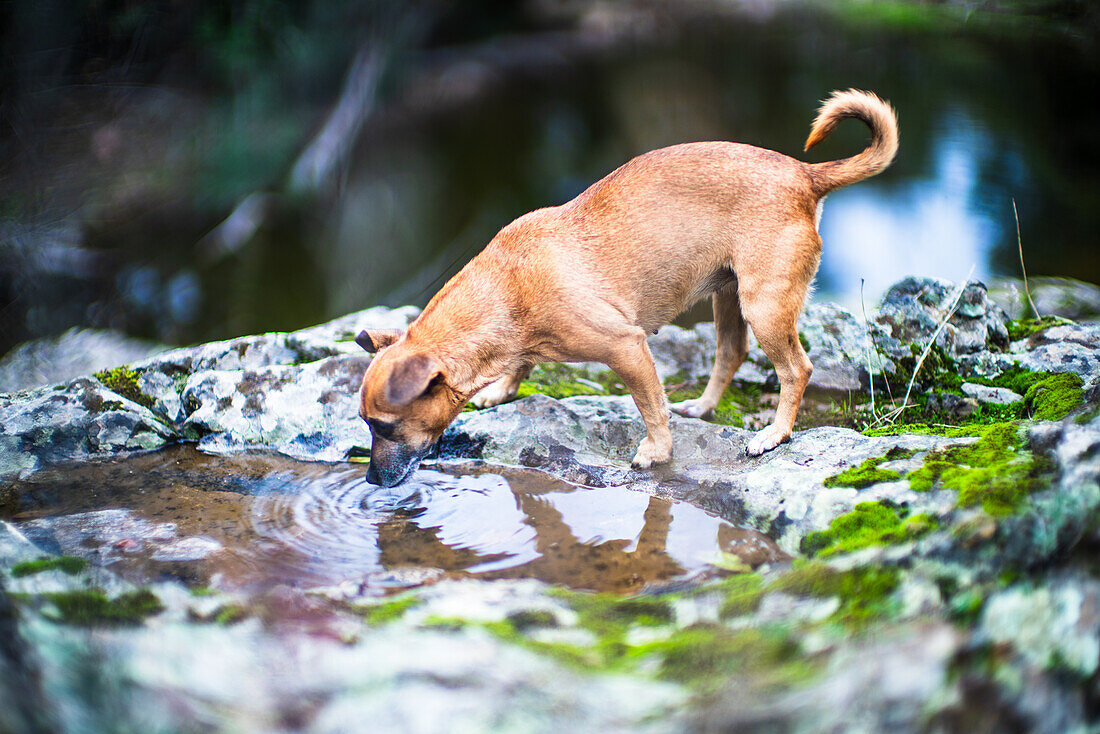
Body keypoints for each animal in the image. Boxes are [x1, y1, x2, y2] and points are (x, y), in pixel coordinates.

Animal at [356, 89, 897, 488]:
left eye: (383, 427)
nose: (371, 481)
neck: (507, 288)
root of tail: (805, 174)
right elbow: (523, 365)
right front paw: (503, 390)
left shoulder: (627, 348)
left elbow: (650, 407)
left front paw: (657, 453)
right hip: (729, 297)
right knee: (731, 352)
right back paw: (703, 407)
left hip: (764, 306)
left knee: (796, 369)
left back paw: (774, 435)